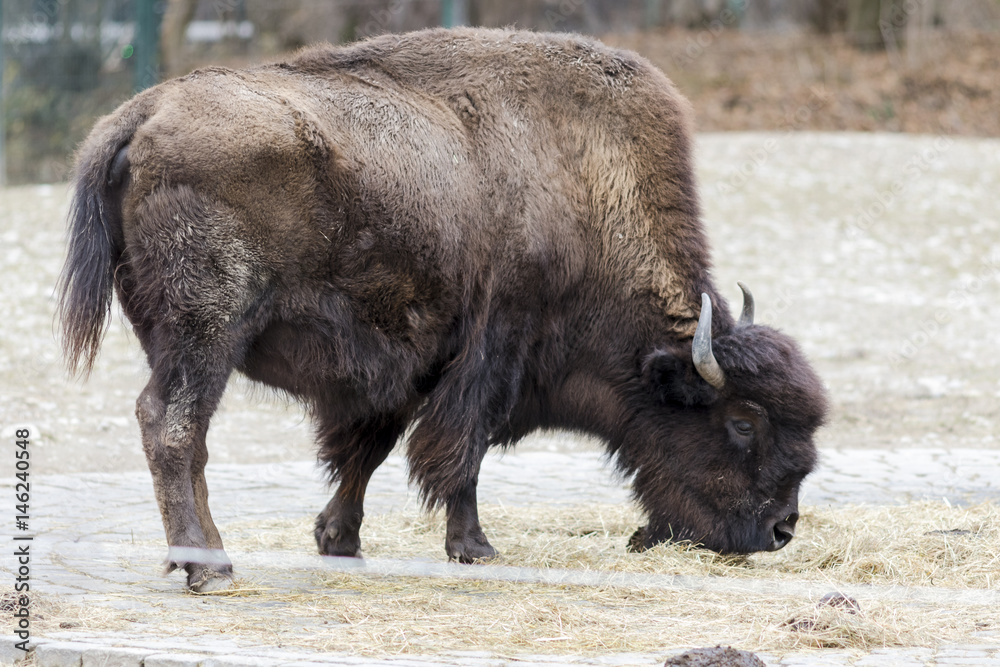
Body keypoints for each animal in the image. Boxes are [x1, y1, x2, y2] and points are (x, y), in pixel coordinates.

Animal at [59, 28, 827, 591]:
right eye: (742, 421)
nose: (782, 531)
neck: (585, 186)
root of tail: (137, 117)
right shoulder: (492, 352)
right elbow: (462, 450)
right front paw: (475, 546)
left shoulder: (406, 365)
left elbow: (368, 450)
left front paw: (339, 541)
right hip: (208, 331)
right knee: (173, 425)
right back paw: (207, 568)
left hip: (176, 337)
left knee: (186, 435)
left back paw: (208, 557)